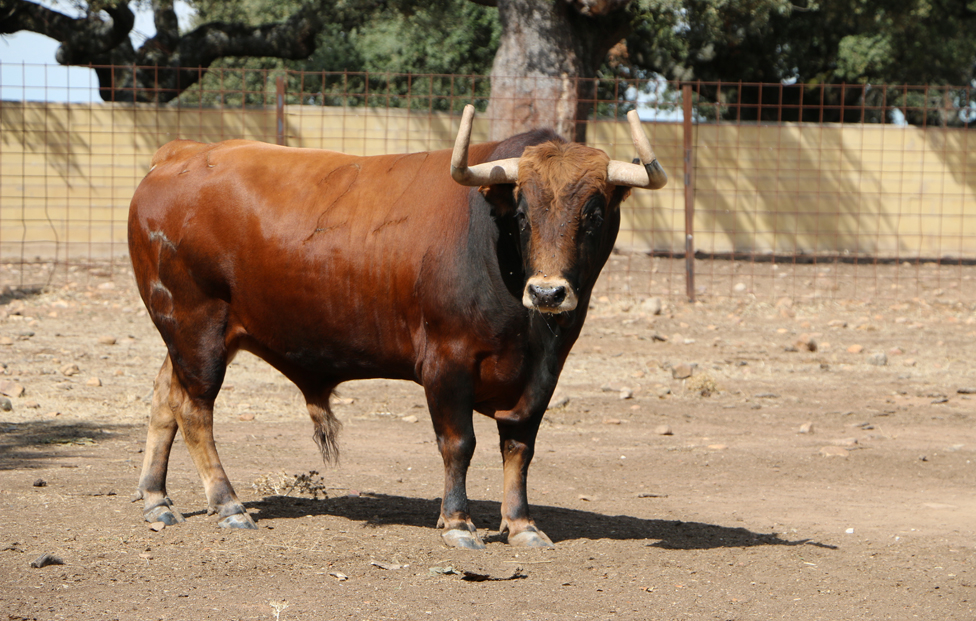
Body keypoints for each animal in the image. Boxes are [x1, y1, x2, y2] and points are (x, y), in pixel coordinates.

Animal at [126, 105, 668, 548]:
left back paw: (157, 499)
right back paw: (228, 504)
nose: (548, 293)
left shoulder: (543, 372)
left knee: (163, 398)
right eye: (522, 213)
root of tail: (180, 153)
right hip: (195, 326)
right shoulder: (447, 362)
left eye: (593, 212)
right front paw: (458, 522)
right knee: (194, 410)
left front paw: (521, 524)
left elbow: (519, 447)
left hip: (187, 334)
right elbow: (459, 444)